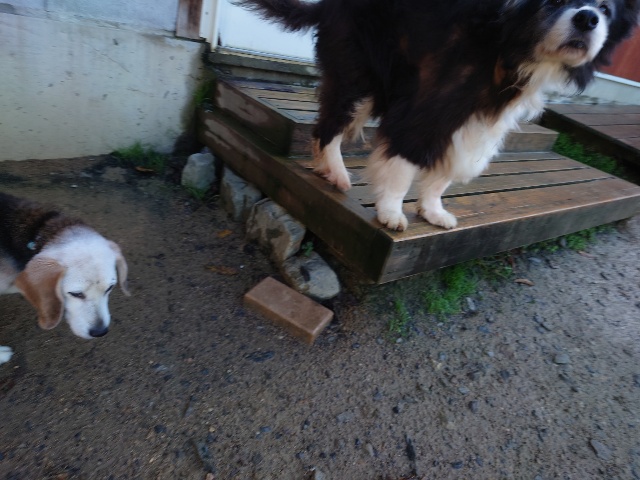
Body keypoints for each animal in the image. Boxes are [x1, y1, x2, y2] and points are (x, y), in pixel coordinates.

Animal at [238, 0, 639, 231]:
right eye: (557, 0)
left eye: (605, 8)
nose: (587, 19)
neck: (510, 43)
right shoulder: (428, 105)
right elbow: (404, 161)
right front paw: (391, 210)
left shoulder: (476, 122)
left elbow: (447, 167)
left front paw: (431, 209)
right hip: (359, 75)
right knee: (329, 124)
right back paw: (336, 171)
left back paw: (325, 168)